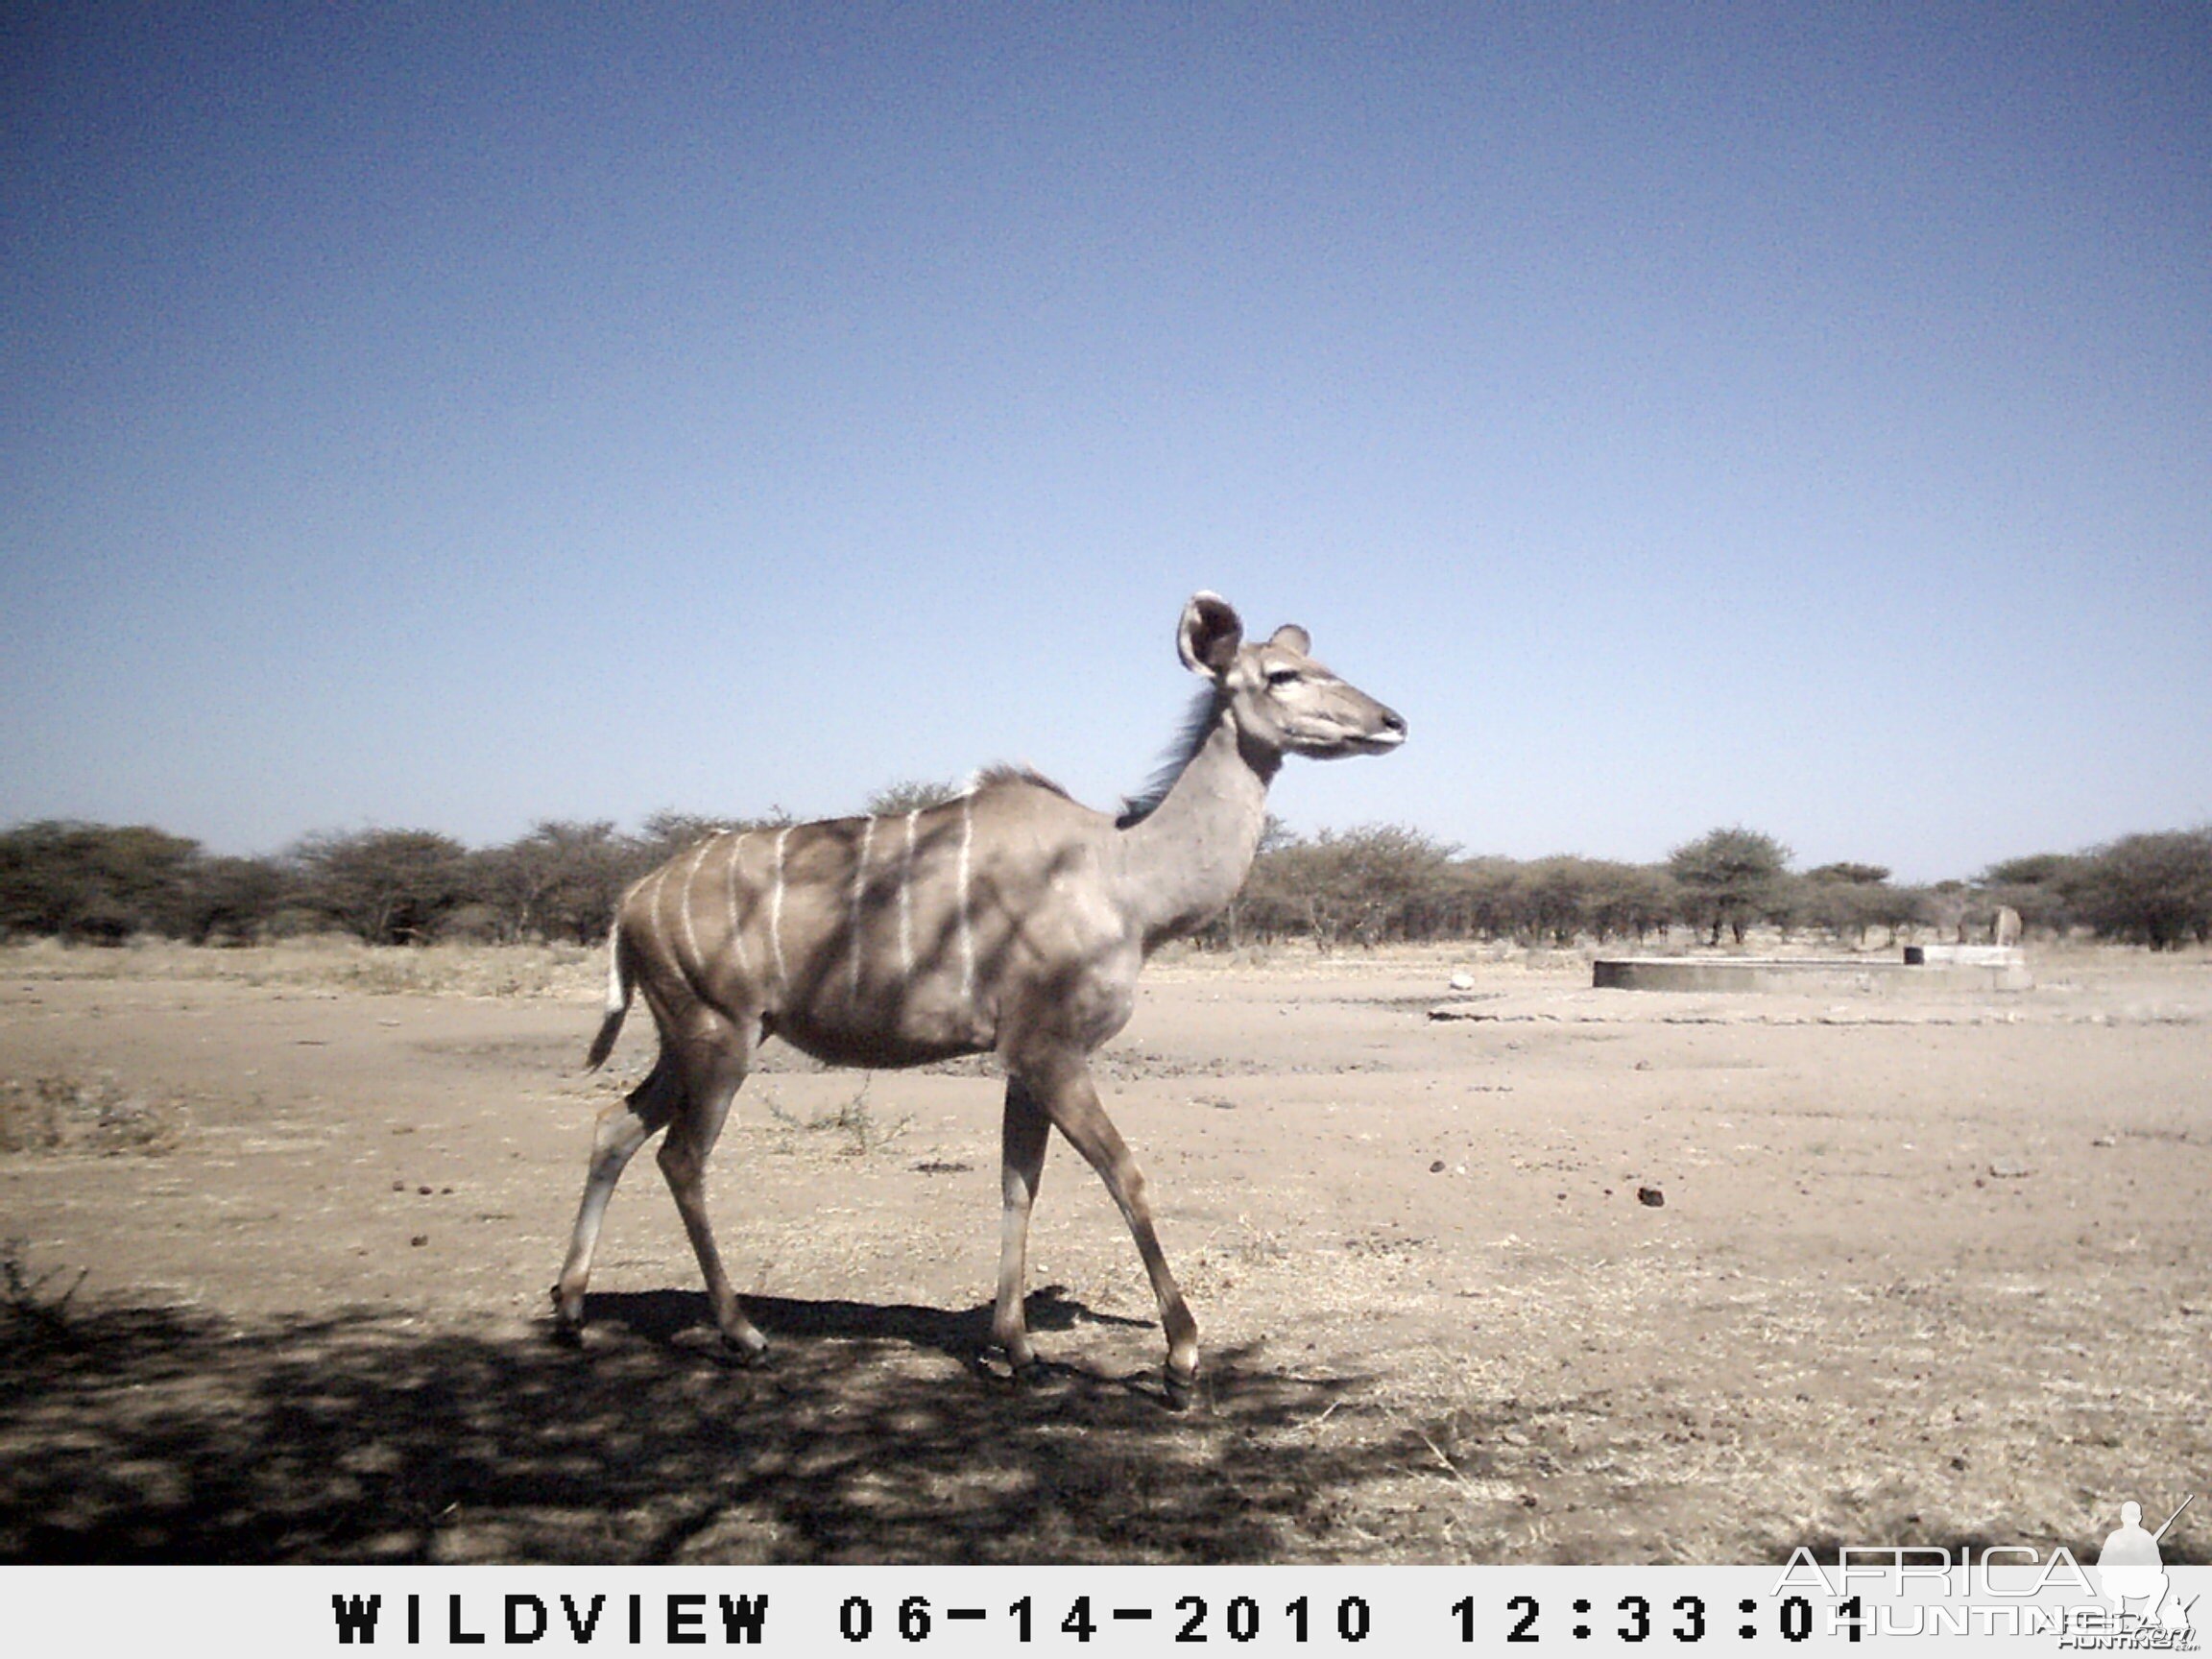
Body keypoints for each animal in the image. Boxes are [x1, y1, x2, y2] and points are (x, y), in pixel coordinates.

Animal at [562, 592, 1407, 1398]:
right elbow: (1124, 1175)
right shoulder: (1049, 1050)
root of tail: (633, 900)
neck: (1126, 877)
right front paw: (1180, 1359)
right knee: (681, 1157)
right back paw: (742, 1334)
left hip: (697, 1037)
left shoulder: (1023, 1063)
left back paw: (571, 1308)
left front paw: (1019, 1351)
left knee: (613, 1127)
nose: (1392, 722)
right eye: (1282, 675)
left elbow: (1017, 1186)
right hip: (720, 1035)